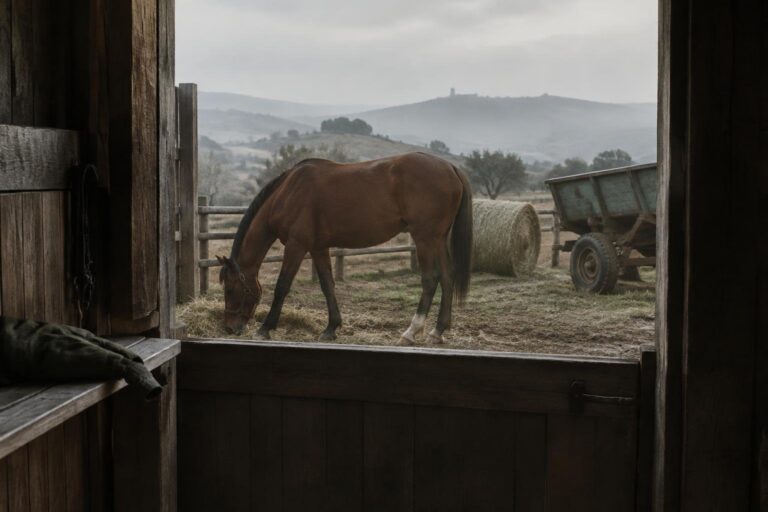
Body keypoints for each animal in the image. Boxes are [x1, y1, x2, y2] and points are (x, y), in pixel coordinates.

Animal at [217, 151, 473, 345]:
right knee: (447, 277)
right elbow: (327, 285)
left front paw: (265, 328)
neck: (288, 193)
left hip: (424, 238)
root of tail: (451, 168)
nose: (229, 327)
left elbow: (282, 286)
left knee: (430, 279)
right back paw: (437, 331)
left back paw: (411, 332)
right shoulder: (318, 248)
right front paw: (331, 328)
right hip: (438, 238)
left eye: (230, 289)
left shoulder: (296, 246)